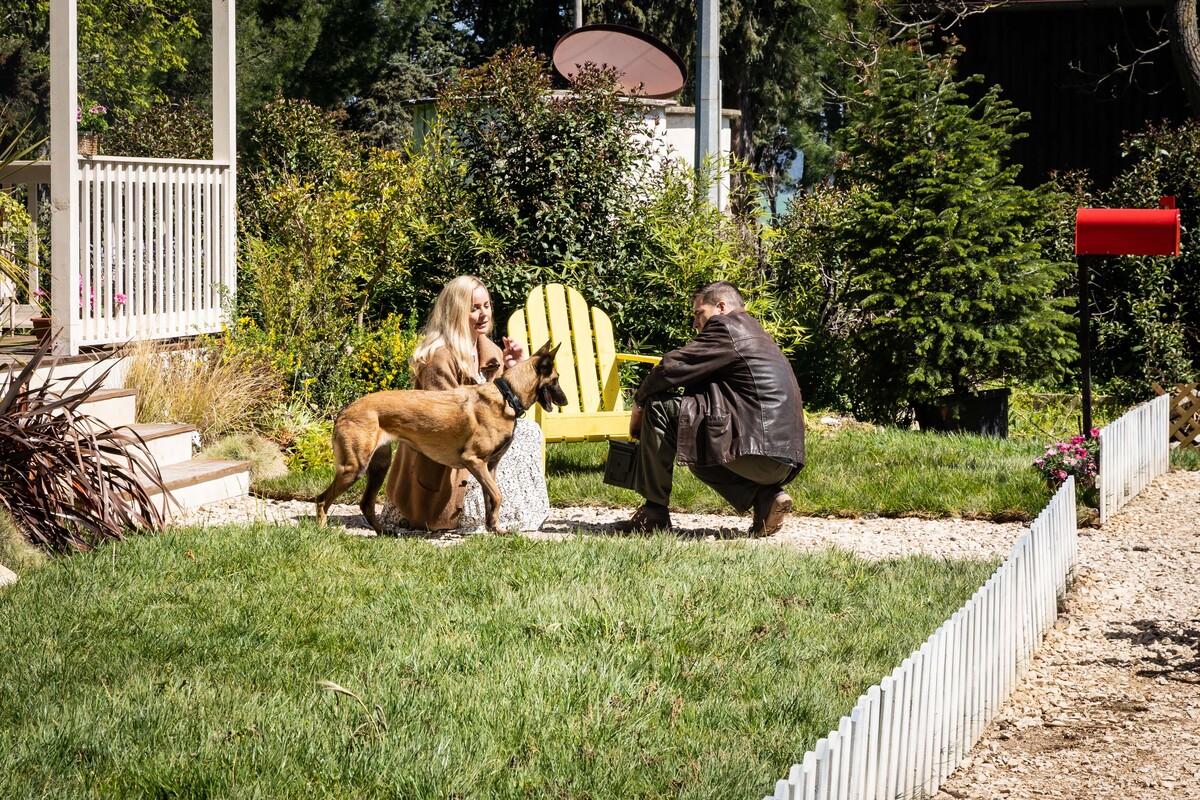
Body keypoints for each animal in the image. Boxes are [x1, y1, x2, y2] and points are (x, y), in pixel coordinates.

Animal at [315, 341, 567, 533]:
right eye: (556, 379)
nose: (565, 401)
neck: (507, 395)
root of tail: (344, 412)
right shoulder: (473, 460)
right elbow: (498, 496)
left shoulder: (490, 466)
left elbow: (491, 499)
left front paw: (494, 529)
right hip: (354, 468)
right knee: (322, 499)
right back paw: (324, 531)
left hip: (378, 467)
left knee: (365, 504)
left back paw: (383, 533)